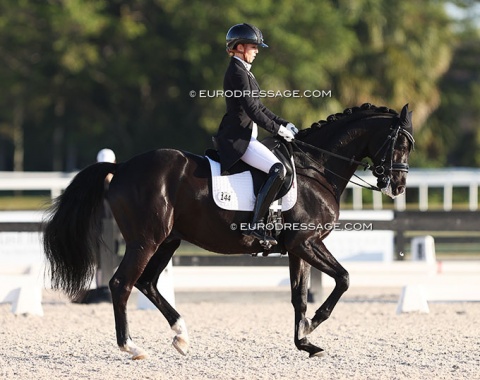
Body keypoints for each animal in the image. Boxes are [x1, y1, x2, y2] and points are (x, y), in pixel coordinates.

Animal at [43, 103, 414, 360]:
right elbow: (344, 278)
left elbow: (299, 296)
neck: (316, 168)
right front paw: (313, 325)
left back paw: (181, 336)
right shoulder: (306, 243)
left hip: (168, 241)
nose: (397, 186)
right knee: (122, 284)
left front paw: (305, 342)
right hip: (144, 241)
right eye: (400, 144)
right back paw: (132, 347)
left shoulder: (298, 248)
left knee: (147, 283)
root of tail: (121, 167)